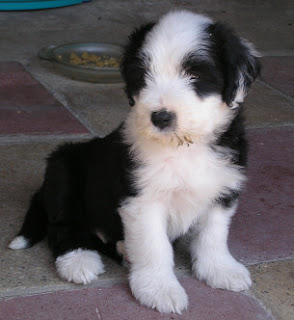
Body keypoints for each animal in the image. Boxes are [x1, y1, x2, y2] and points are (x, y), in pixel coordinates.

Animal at [9, 10, 260, 316]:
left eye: (195, 75)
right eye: (143, 76)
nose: (161, 117)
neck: (184, 147)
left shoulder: (222, 187)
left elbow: (213, 234)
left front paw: (221, 269)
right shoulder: (142, 199)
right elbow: (154, 247)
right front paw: (160, 290)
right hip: (63, 167)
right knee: (63, 227)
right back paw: (79, 261)